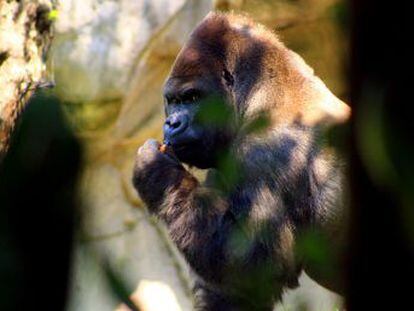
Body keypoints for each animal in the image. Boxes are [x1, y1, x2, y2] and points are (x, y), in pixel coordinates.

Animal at [132, 12, 350, 311]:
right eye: (173, 101)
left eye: (192, 97)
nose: (172, 123)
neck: (263, 90)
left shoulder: (264, 152)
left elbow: (256, 263)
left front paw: (156, 173)